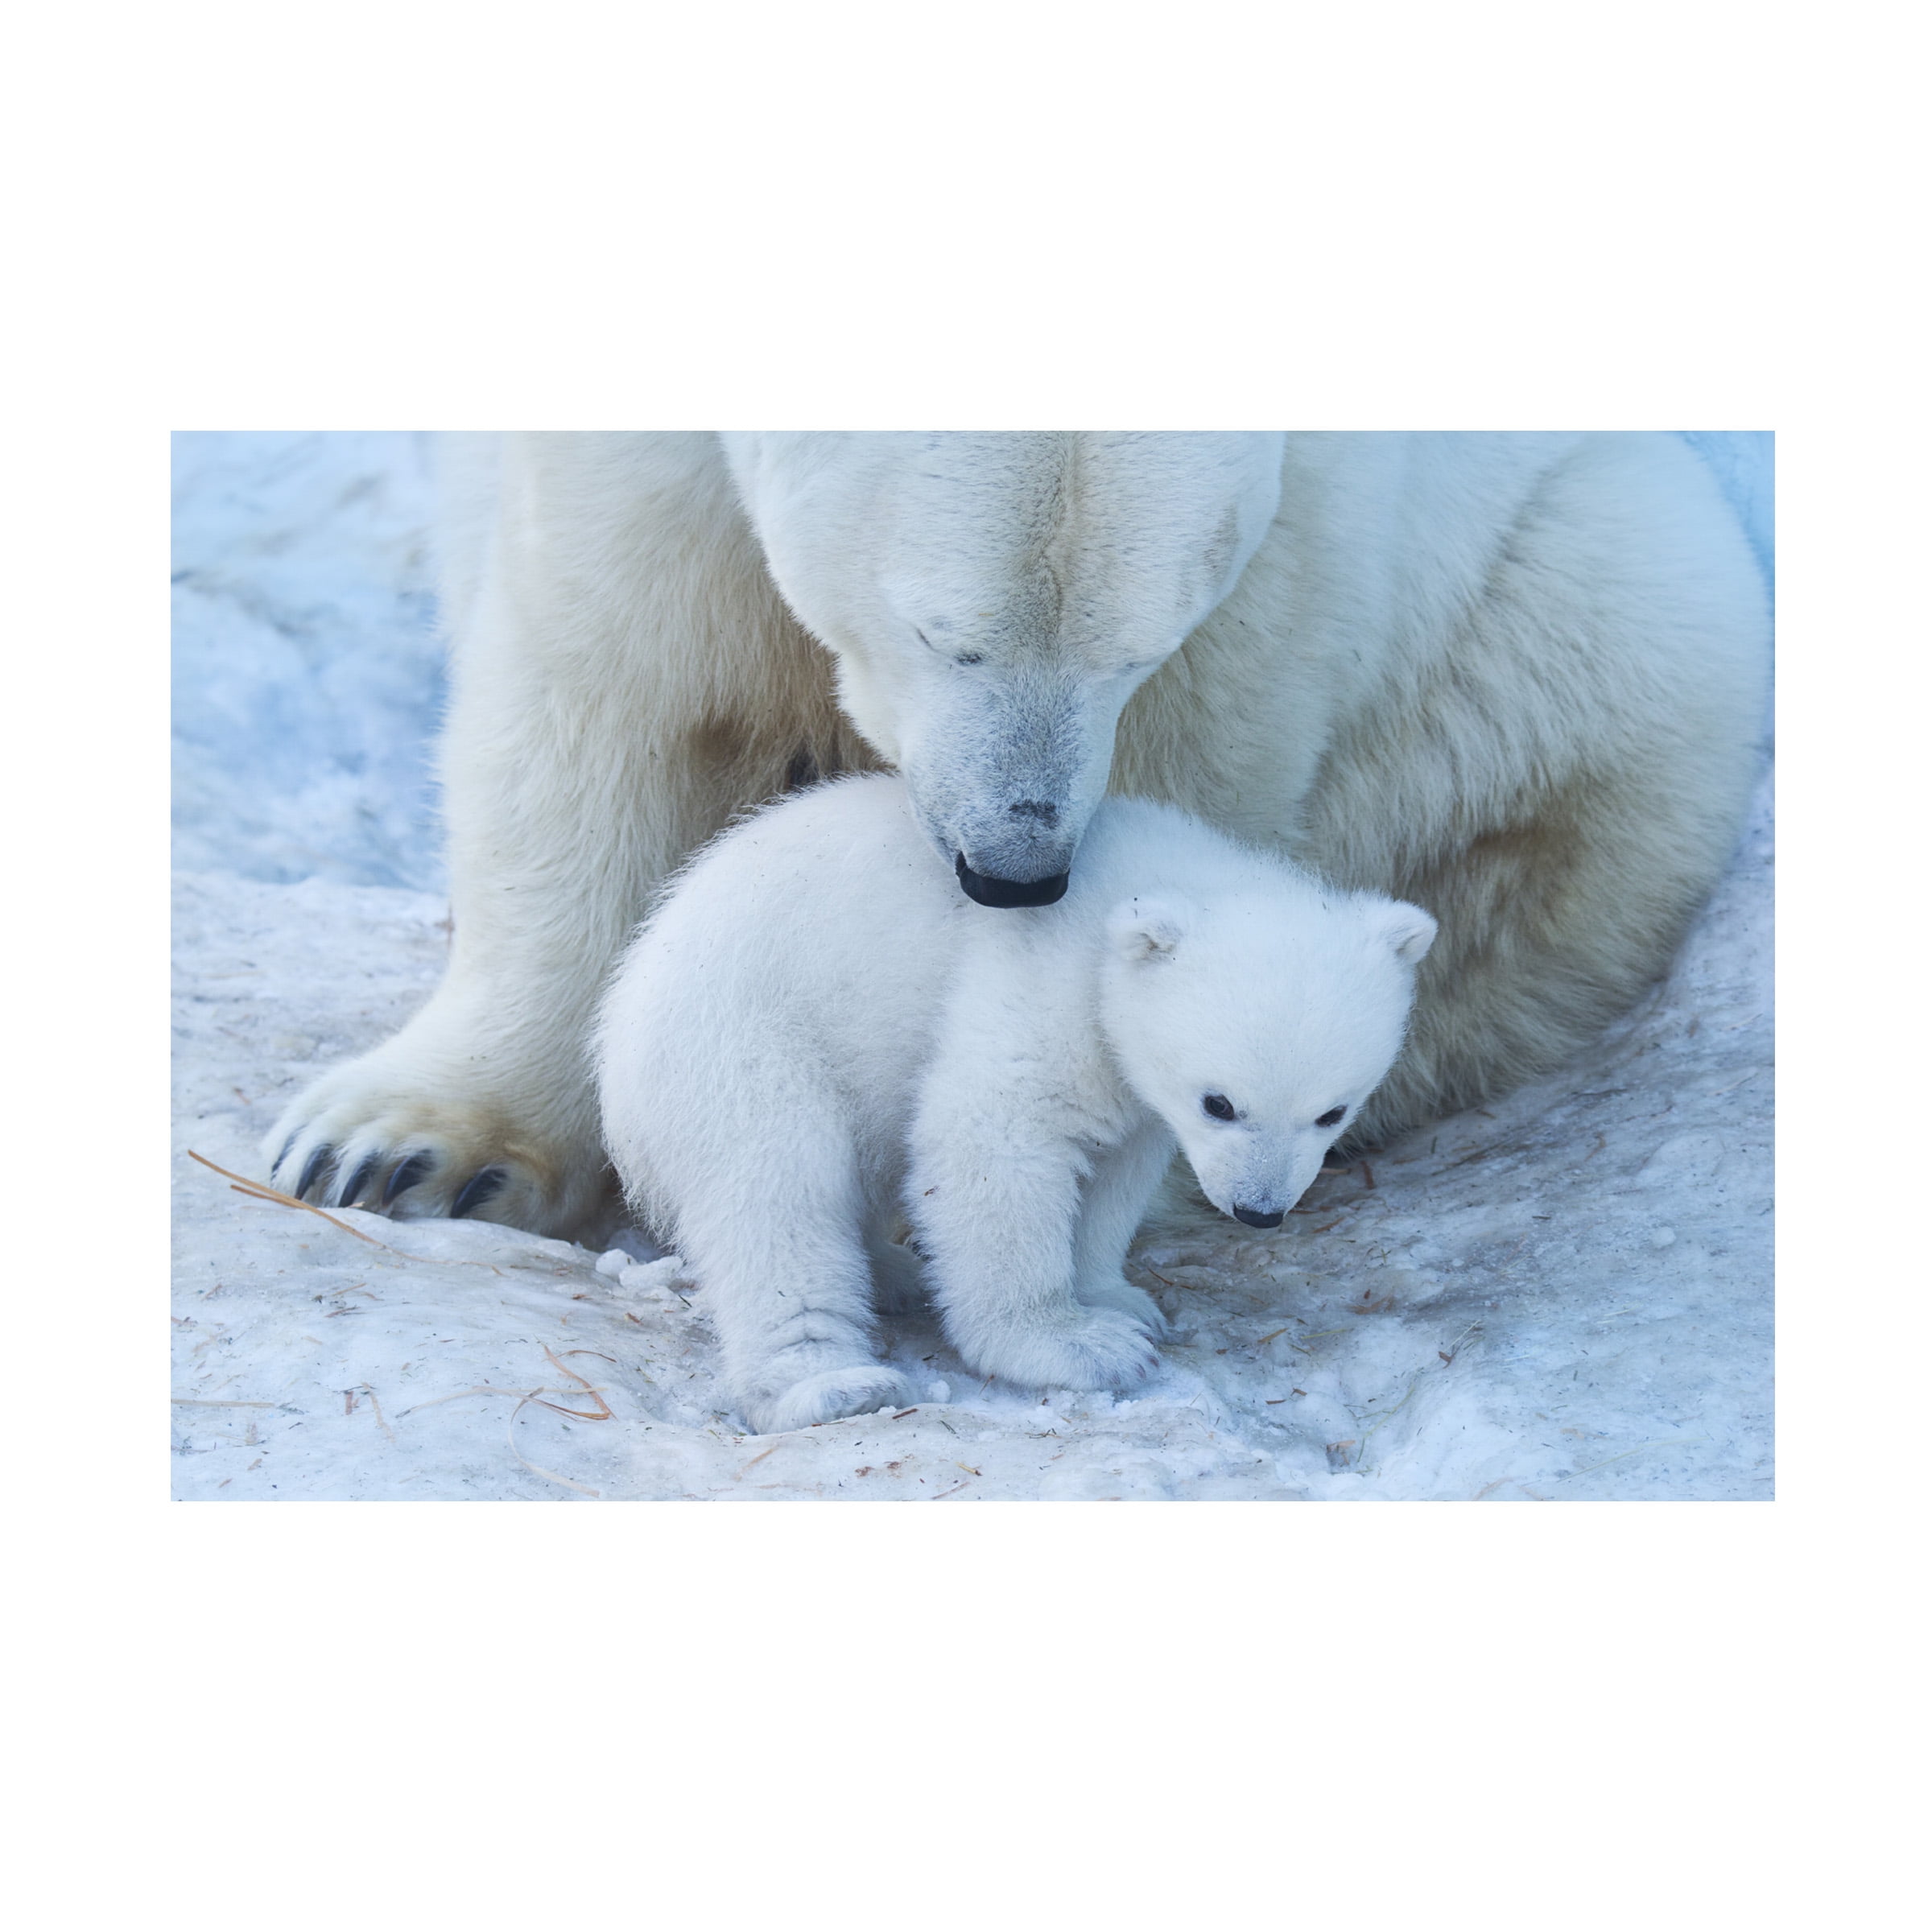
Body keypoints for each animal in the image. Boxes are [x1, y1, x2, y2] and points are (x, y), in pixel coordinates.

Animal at [266, 433, 1768, 1244]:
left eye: (1136, 645)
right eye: (948, 633)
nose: (1013, 867)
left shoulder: (1291, 555)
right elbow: (607, 685)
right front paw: (401, 1151)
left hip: (1579, 600)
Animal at [594, 773, 1437, 1435]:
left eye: (1333, 1112)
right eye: (1219, 1103)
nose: (1259, 1211)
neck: (1142, 883)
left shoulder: (1131, 1081)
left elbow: (1115, 1171)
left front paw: (1120, 1302)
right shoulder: (1041, 978)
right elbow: (993, 1142)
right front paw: (1078, 1346)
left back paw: (894, 1273)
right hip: (742, 1043)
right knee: (776, 1199)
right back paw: (830, 1383)